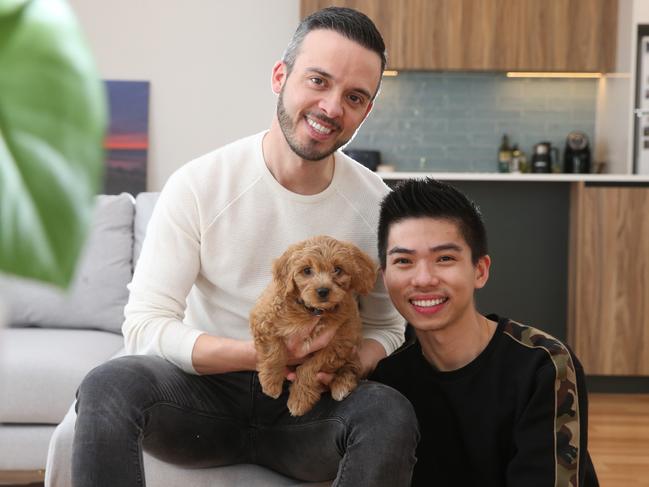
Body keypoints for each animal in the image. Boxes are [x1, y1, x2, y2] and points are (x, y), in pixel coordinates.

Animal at [251, 235, 378, 416]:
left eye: (338, 269)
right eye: (306, 270)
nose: (323, 291)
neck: (312, 311)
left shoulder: (338, 344)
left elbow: (309, 369)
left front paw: (299, 400)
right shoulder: (263, 319)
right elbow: (273, 353)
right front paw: (271, 384)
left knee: (353, 366)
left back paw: (342, 385)